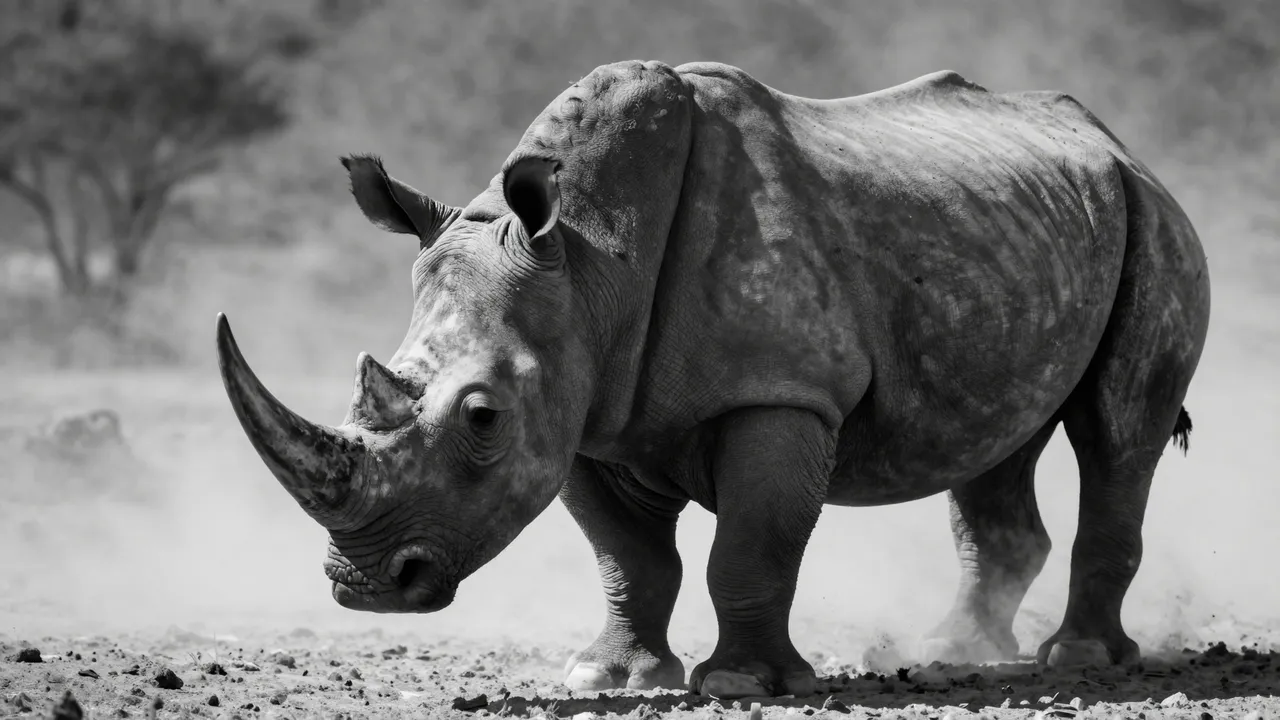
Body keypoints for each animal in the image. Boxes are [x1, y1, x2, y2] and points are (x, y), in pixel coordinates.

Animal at [216, 60, 1209, 699]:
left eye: (483, 417)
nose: (366, 585)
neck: (588, 259)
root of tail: (1112, 140)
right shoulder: (585, 407)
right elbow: (629, 557)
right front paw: (609, 677)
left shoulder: (781, 390)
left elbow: (754, 541)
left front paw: (742, 681)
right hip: (1021, 233)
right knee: (999, 437)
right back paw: (957, 649)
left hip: (1155, 219)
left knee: (1119, 431)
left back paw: (1076, 662)